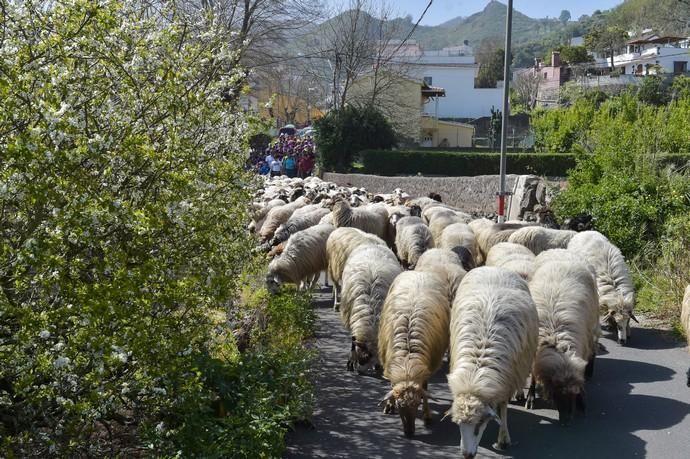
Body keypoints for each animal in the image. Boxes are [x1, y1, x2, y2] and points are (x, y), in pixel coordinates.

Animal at [376, 274, 452, 438]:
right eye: (400, 406)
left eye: (417, 404)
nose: (409, 433)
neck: (407, 363)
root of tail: (419, 272)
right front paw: (389, 405)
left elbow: (425, 390)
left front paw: (427, 415)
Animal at [446, 268, 536, 458]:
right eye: (458, 425)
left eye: (479, 425)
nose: (467, 455)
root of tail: (496, 268)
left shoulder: (507, 379)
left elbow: (502, 408)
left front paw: (503, 439)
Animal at [528, 250, 596, 426]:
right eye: (556, 394)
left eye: (573, 395)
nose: (566, 421)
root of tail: (562, 251)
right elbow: (533, 375)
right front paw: (530, 397)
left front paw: (582, 403)